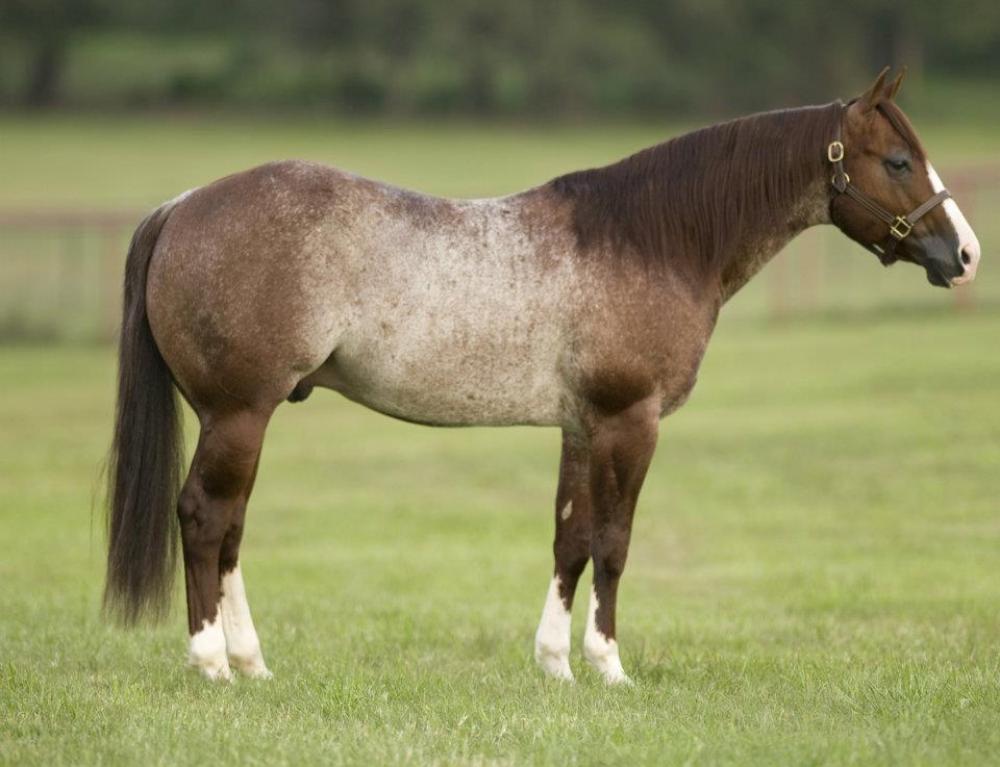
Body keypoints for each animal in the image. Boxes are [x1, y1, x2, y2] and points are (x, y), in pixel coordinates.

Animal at [105, 68, 980, 684]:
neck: (653, 240)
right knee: (205, 519)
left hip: (240, 420)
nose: (965, 253)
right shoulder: (631, 421)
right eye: (898, 160)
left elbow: (571, 539)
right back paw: (212, 663)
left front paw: (556, 664)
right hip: (238, 415)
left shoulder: (582, 425)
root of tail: (182, 206)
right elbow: (615, 543)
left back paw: (252, 663)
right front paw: (610, 666)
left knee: (230, 532)